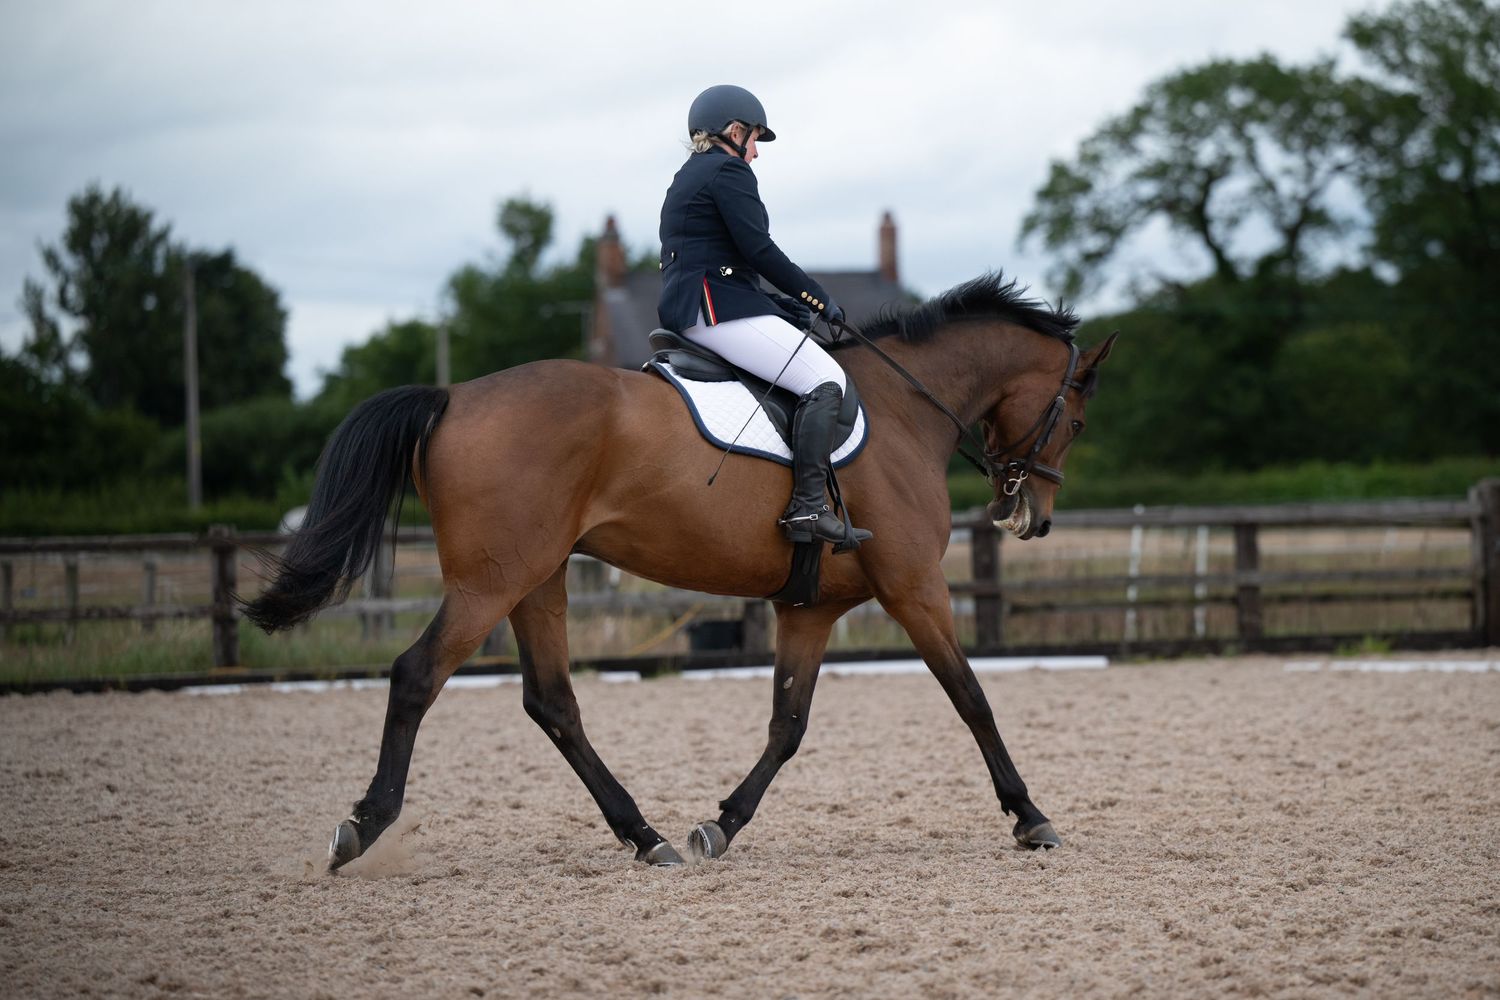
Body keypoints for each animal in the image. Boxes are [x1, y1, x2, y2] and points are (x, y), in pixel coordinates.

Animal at [244, 273, 1118, 869]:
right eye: (1075, 420)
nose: (1033, 517)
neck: (906, 409)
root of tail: (452, 397)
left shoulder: (809, 610)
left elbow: (787, 725)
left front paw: (719, 826)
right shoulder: (914, 589)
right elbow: (973, 699)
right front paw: (1031, 817)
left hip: (536, 580)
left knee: (553, 702)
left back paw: (647, 836)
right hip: (489, 583)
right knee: (417, 675)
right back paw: (364, 825)